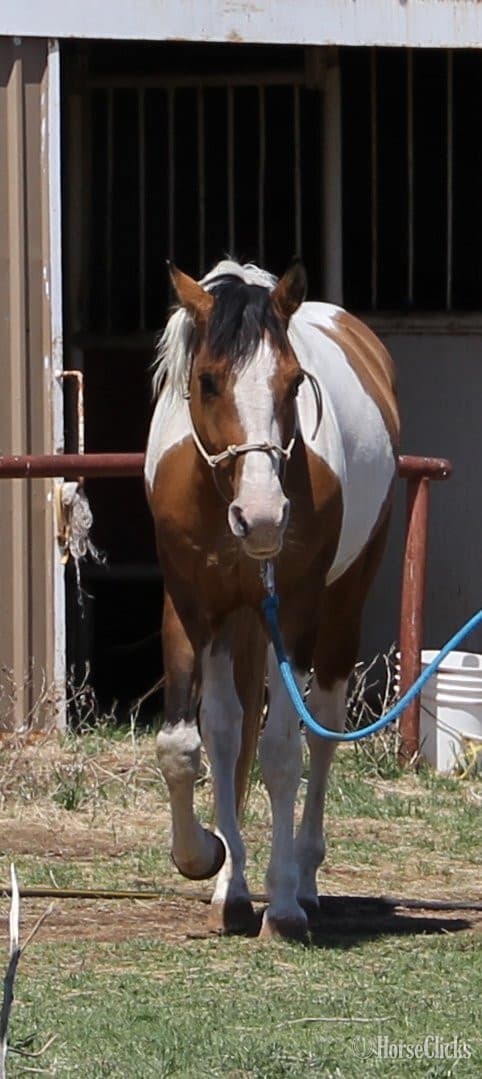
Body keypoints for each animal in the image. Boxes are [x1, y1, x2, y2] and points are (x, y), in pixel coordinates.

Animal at [145, 259, 399, 940]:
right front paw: (208, 861)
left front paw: (281, 905)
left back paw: (303, 882)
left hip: (340, 606)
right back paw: (233, 885)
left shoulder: (300, 607)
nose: (261, 518)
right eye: (207, 381)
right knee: (232, 734)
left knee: (324, 731)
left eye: (293, 383)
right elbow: (191, 744)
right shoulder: (192, 605)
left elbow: (284, 750)